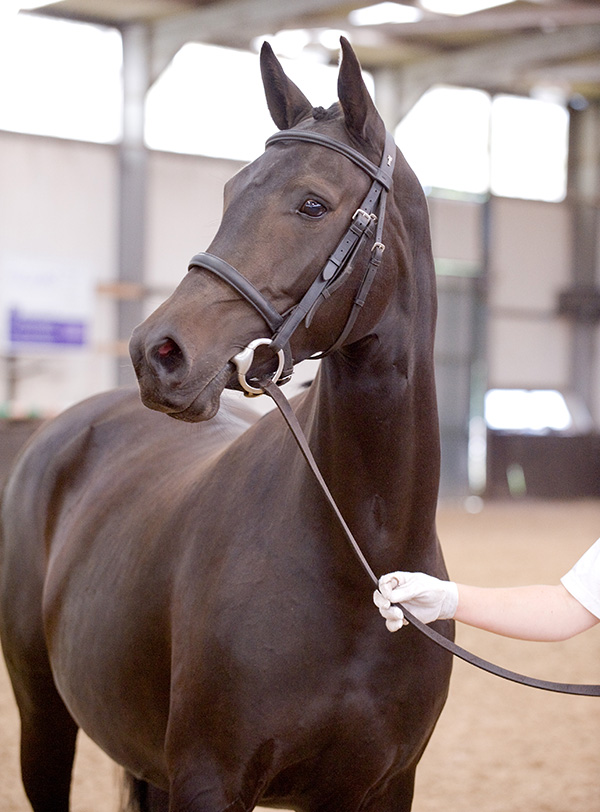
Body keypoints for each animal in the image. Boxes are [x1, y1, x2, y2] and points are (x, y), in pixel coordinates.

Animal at [0, 38, 450, 812]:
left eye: (312, 203)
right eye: (229, 192)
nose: (157, 353)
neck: (363, 559)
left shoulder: (384, 786)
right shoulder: (209, 777)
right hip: (45, 723)